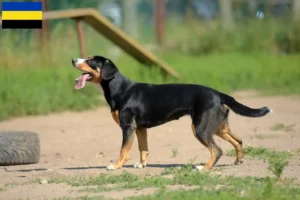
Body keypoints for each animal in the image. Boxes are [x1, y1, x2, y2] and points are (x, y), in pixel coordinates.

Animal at [72, 55, 272, 170]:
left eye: (90, 61)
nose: (73, 60)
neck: (119, 88)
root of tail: (217, 93)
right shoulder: (140, 128)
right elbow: (143, 148)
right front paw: (141, 165)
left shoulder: (128, 127)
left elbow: (124, 150)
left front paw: (116, 166)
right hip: (217, 127)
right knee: (238, 140)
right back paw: (239, 161)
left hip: (200, 129)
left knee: (217, 150)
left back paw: (204, 169)